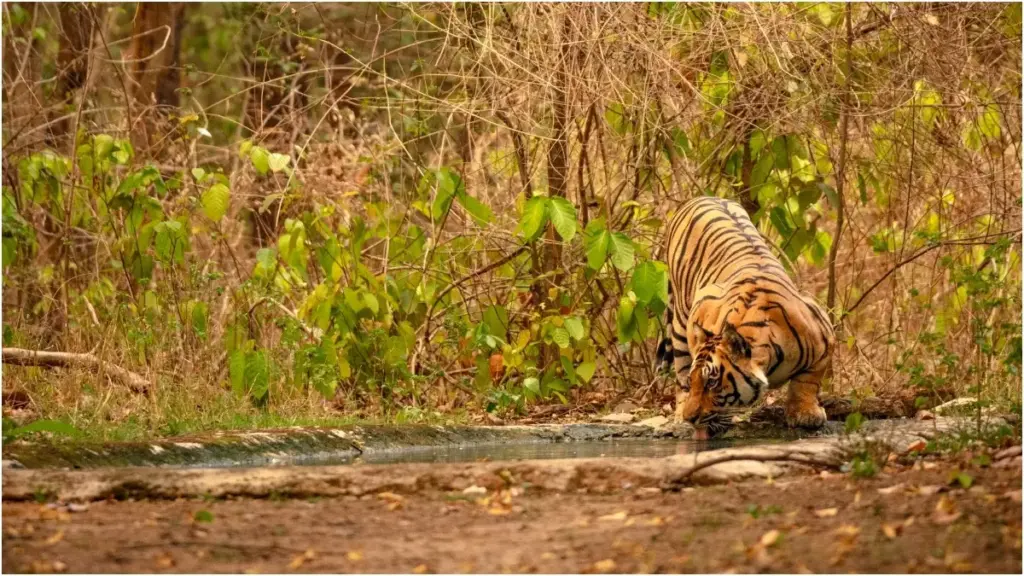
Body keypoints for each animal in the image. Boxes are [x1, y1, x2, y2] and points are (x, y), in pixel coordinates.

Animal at [654, 196, 835, 439]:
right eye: (697, 381)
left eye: (712, 382)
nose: (690, 418)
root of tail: (701, 198)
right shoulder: (702, 305)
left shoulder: (824, 335)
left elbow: (807, 381)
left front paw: (805, 413)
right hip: (681, 323)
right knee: (680, 369)